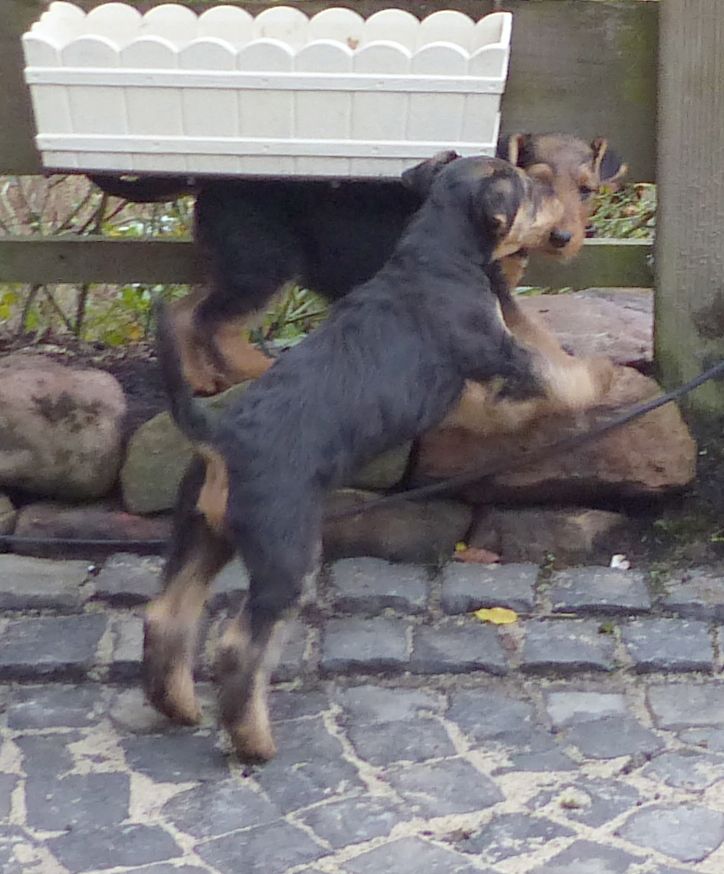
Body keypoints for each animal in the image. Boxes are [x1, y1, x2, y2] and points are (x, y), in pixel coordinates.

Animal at [143, 155, 571, 762]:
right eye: (528, 190)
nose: (560, 218)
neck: (434, 255)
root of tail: (220, 435)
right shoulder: (500, 357)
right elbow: (559, 374)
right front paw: (600, 384)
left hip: (201, 534)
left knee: (167, 615)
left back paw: (178, 707)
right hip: (286, 553)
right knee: (239, 648)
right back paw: (255, 742)